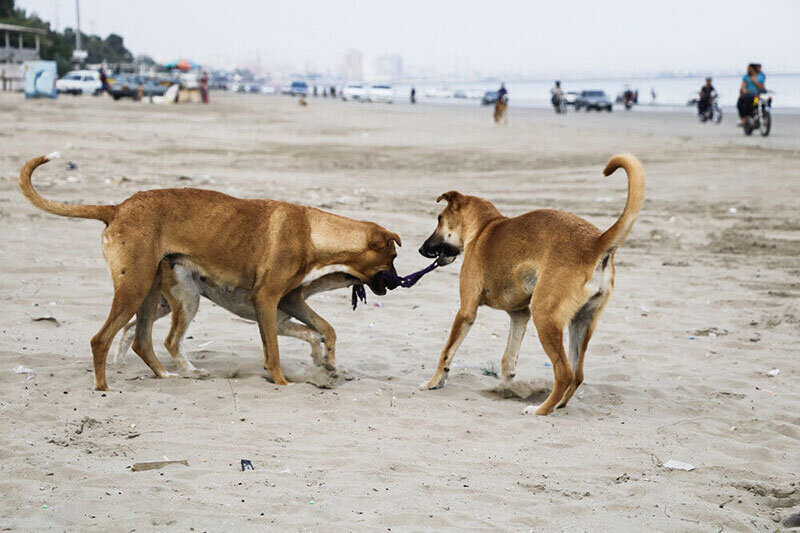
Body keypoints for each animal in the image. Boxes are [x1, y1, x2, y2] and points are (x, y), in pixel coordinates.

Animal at [20, 154, 400, 390]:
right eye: (393, 257)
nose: (398, 284)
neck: (313, 231)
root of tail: (117, 208)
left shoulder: (290, 300)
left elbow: (324, 329)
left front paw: (328, 363)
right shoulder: (267, 301)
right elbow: (275, 351)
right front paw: (281, 381)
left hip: (152, 293)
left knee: (141, 340)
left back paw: (167, 375)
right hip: (141, 289)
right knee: (106, 338)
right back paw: (104, 386)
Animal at [418, 154, 644, 416]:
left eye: (439, 219)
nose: (421, 249)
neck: (485, 227)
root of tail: (595, 243)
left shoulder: (467, 311)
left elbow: (446, 352)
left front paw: (434, 382)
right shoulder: (519, 315)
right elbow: (508, 361)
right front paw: (504, 388)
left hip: (544, 316)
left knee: (564, 374)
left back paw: (540, 409)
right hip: (580, 322)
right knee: (577, 374)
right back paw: (558, 405)